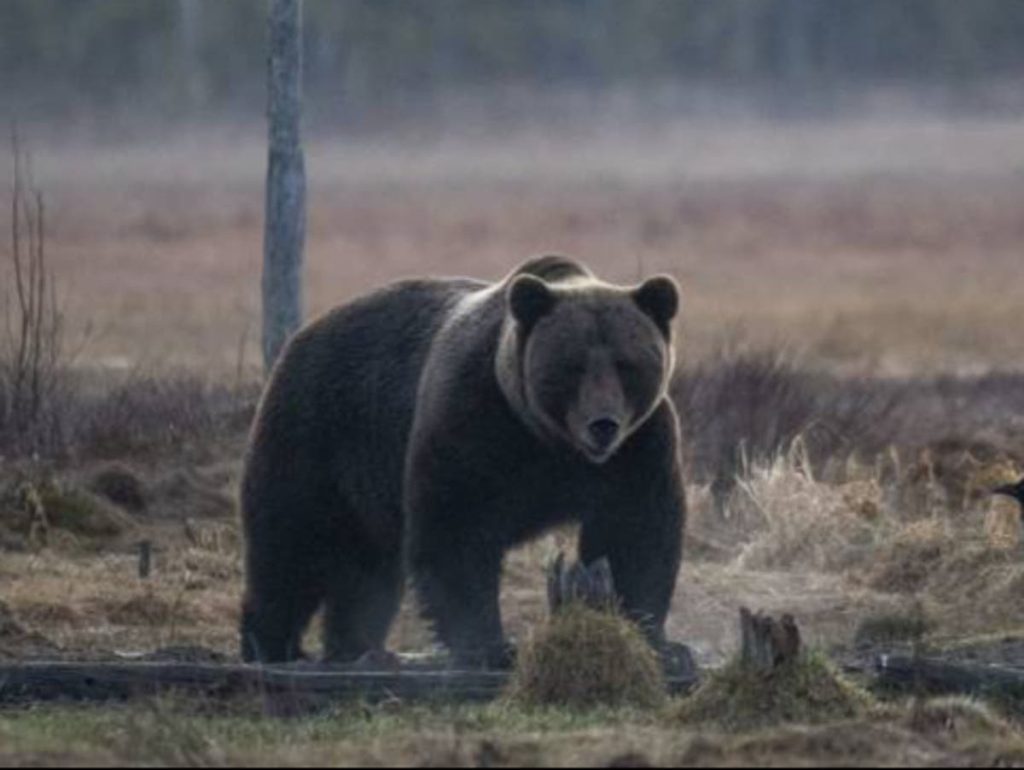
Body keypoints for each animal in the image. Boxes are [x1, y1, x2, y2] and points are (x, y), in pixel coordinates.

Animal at [239, 255, 686, 667]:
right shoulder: (473, 419)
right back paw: (272, 646)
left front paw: (657, 641)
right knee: (291, 544)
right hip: (318, 433)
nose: (602, 425)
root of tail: (303, 333)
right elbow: (456, 527)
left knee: (369, 568)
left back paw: (359, 647)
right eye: (572, 365)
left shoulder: (637, 447)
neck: (548, 439)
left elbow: (634, 531)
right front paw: (490, 646)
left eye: (627, 364)